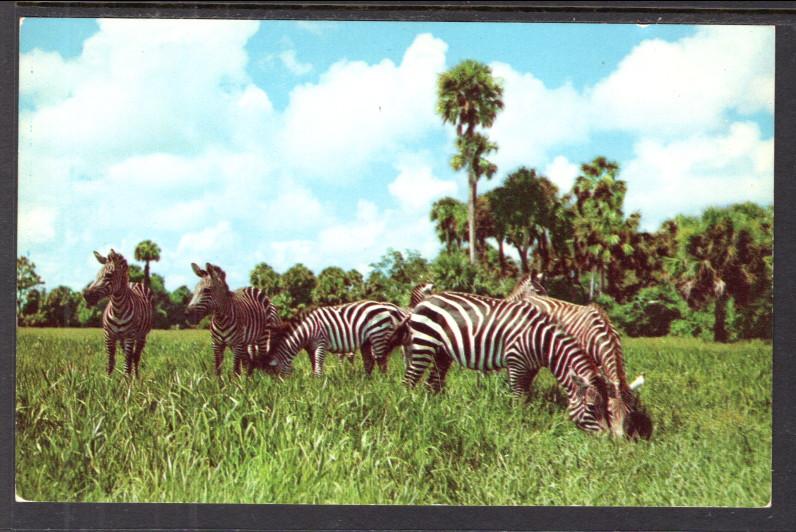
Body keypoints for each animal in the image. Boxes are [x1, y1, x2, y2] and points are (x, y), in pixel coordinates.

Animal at [266, 302, 408, 376]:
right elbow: (314, 365)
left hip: (378, 335)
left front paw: (318, 385)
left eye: (276, 375)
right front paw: (313, 383)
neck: (306, 331)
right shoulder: (310, 348)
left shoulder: (321, 343)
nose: (285, 389)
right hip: (367, 340)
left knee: (381, 360)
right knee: (369, 361)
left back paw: (382, 381)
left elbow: (318, 365)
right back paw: (366, 381)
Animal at [388, 294, 612, 434]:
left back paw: (433, 410)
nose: (606, 440)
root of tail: (421, 303)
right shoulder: (516, 362)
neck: (543, 343)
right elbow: (517, 397)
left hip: (442, 352)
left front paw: (523, 421)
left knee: (432, 383)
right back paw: (407, 408)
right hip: (423, 343)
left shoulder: (531, 368)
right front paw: (517, 425)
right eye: (592, 407)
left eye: (606, 407)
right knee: (409, 380)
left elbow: (525, 396)